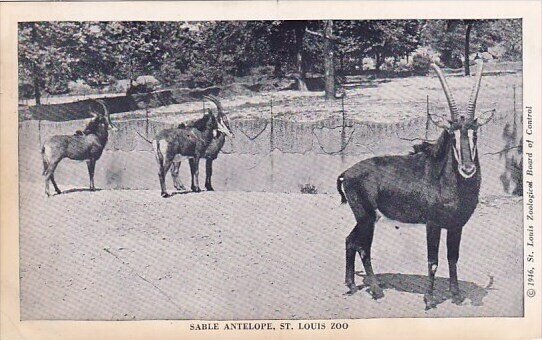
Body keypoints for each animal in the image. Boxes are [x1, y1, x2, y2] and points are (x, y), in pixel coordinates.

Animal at [340, 59, 498, 310]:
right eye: (451, 135)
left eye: (475, 134)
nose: (467, 168)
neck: (449, 182)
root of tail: (347, 173)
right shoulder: (432, 224)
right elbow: (433, 261)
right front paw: (429, 299)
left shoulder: (456, 225)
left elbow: (453, 258)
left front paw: (456, 295)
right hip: (366, 218)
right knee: (363, 248)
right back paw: (376, 290)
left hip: (367, 217)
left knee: (350, 241)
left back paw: (352, 285)